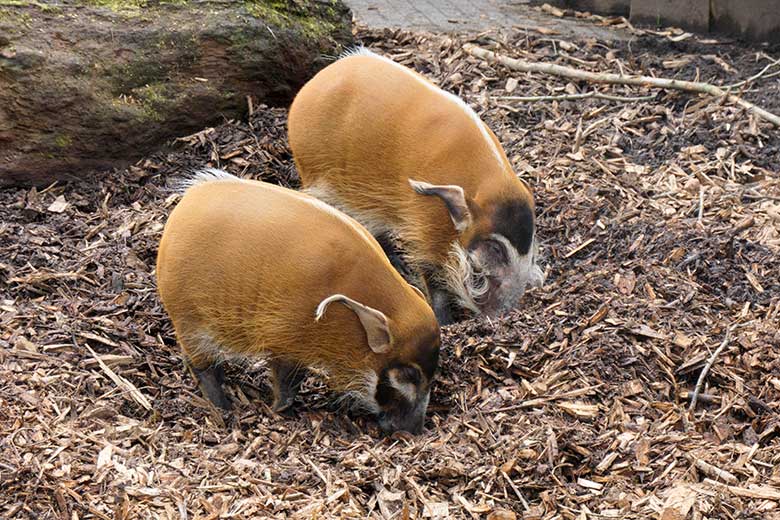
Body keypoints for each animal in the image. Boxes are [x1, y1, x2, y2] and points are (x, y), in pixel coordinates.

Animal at [155, 169, 442, 432]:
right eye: (409, 375)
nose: (414, 432)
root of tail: (184, 204)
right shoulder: (286, 339)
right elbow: (288, 382)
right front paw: (278, 411)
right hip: (189, 319)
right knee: (200, 365)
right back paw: (223, 407)